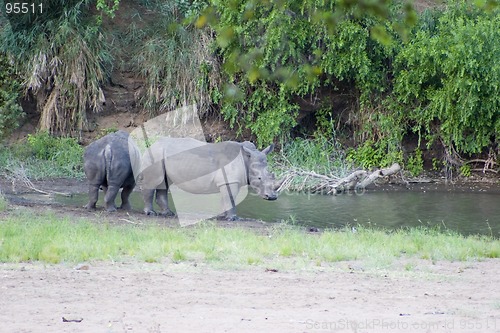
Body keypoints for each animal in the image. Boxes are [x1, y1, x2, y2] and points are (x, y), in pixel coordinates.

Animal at [137, 137, 282, 220]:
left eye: (271, 174)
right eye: (259, 178)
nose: (272, 197)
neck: (246, 159)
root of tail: (151, 145)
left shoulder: (227, 181)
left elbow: (226, 198)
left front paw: (223, 216)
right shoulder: (230, 180)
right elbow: (230, 198)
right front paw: (234, 218)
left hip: (161, 155)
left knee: (164, 183)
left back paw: (168, 214)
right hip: (155, 154)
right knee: (153, 182)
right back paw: (151, 213)